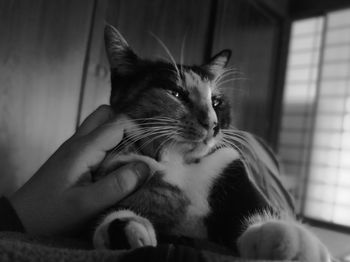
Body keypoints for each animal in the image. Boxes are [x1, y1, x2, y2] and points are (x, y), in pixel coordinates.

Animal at [91, 24, 332, 262]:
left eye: (216, 102)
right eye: (175, 93)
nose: (212, 124)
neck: (179, 162)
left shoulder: (231, 169)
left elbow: (260, 213)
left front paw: (292, 240)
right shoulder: (120, 165)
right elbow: (110, 215)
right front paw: (129, 230)